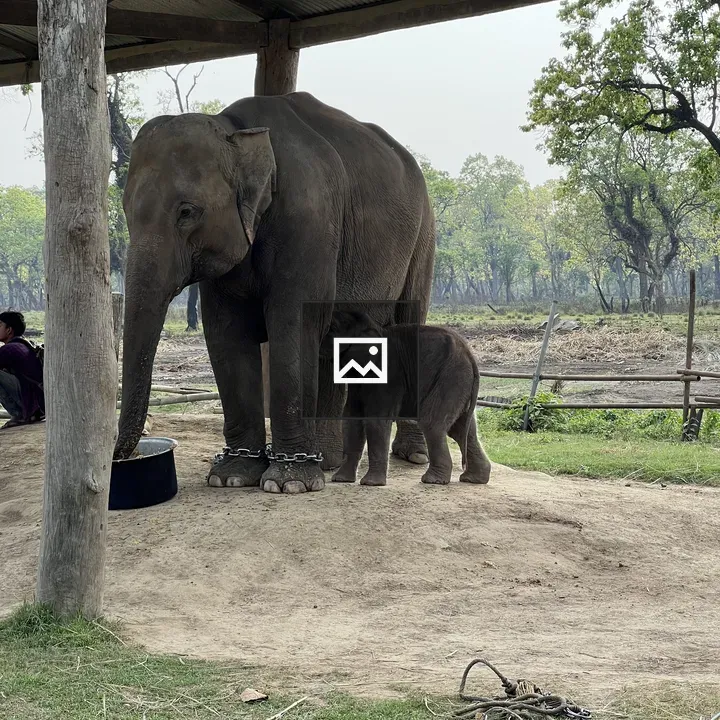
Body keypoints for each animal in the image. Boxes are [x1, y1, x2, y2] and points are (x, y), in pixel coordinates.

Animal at [114, 91, 436, 494]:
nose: (124, 459)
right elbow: (226, 332)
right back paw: (328, 461)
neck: (236, 130)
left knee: (407, 322)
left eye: (187, 211)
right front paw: (232, 476)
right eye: (125, 211)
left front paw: (288, 483)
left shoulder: (308, 217)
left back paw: (412, 456)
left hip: (423, 236)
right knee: (332, 344)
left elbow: (291, 322)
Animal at [323, 310, 492, 487]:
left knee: (433, 424)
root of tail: (471, 358)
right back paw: (473, 479)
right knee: (462, 430)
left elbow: (376, 420)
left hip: (451, 379)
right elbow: (351, 420)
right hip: (459, 385)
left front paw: (371, 483)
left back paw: (433, 480)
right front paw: (340, 480)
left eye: (332, 329)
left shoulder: (389, 376)